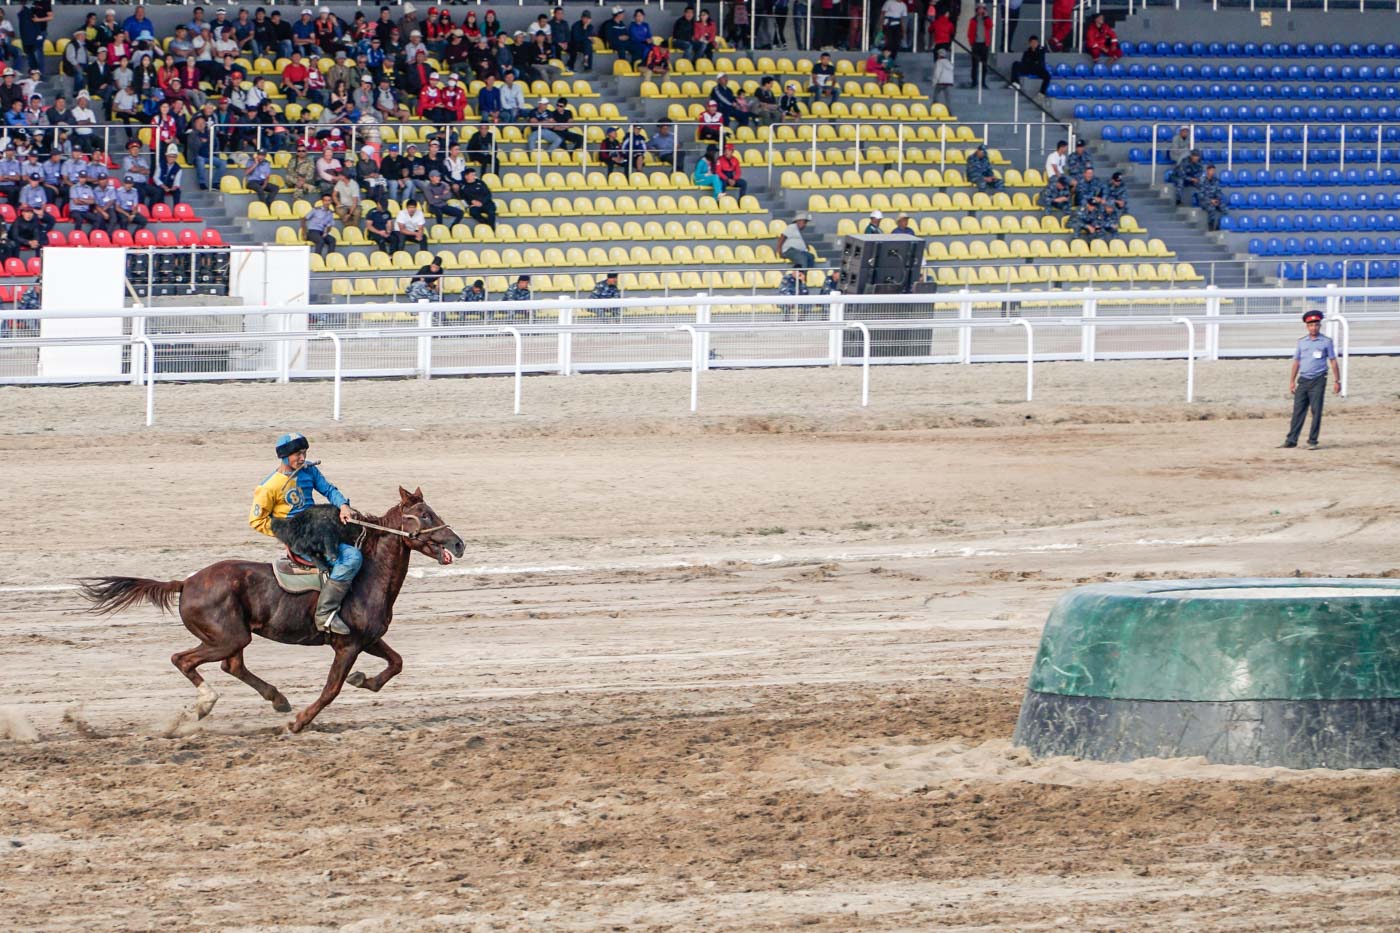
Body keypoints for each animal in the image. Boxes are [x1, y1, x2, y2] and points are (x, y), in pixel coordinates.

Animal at [80, 481, 464, 728]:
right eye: (425, 515)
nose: (458, 544)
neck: (367, 575)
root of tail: (186, 582)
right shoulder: (348, 644)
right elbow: (331, 689)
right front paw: (300, 723)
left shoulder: (370, 639)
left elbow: (396, 663)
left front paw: (363, 680)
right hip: (228, 637)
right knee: (184, 659)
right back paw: (206, 705)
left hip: (232, 638)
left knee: (231, 666)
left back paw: (276, 699)